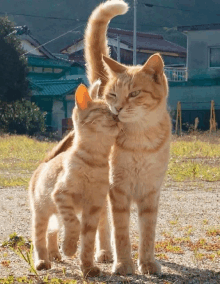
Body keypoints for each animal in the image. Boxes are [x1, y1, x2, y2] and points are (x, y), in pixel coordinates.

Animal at [29, 81, 120, 276]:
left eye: (115, 109)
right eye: (104, 111)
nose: (118, 115)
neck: (95, 162)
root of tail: (44, 163)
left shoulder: (94, 206)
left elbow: (88, 240)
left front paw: (88, 266)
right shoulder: (62, 195)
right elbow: (74, 223)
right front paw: (69, 247)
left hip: (56, 214)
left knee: (52, 232)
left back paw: (54, 253)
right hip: (41, 212)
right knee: (39, 237)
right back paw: (42, 260)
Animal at [84, 0, 172, 276]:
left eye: (134, 93)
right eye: (113, 94)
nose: (117, 108)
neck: (140, 140)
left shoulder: (151, 192)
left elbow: (148, 233)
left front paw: (147, 262)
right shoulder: (118, 191)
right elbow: (120, 232)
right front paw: (123, 264)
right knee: (102, 225)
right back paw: (104, 252)